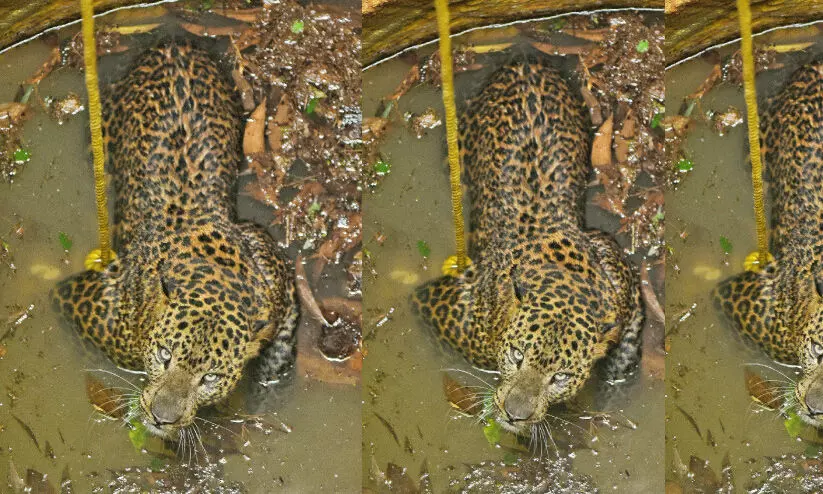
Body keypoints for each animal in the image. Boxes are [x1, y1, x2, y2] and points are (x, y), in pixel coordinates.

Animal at [51, 44, 299, 439]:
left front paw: (265, 384)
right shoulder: (78, 302)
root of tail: (172, 47)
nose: (160, 418)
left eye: (209, 377)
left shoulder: (273, 273)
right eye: (165, 355)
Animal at [410, 60, 644, 436]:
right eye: (517, 356)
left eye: (560, 376)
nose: (513, 414)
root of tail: (524, 64)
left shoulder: (615, 267)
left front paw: (615, 374)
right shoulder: (438, 306)